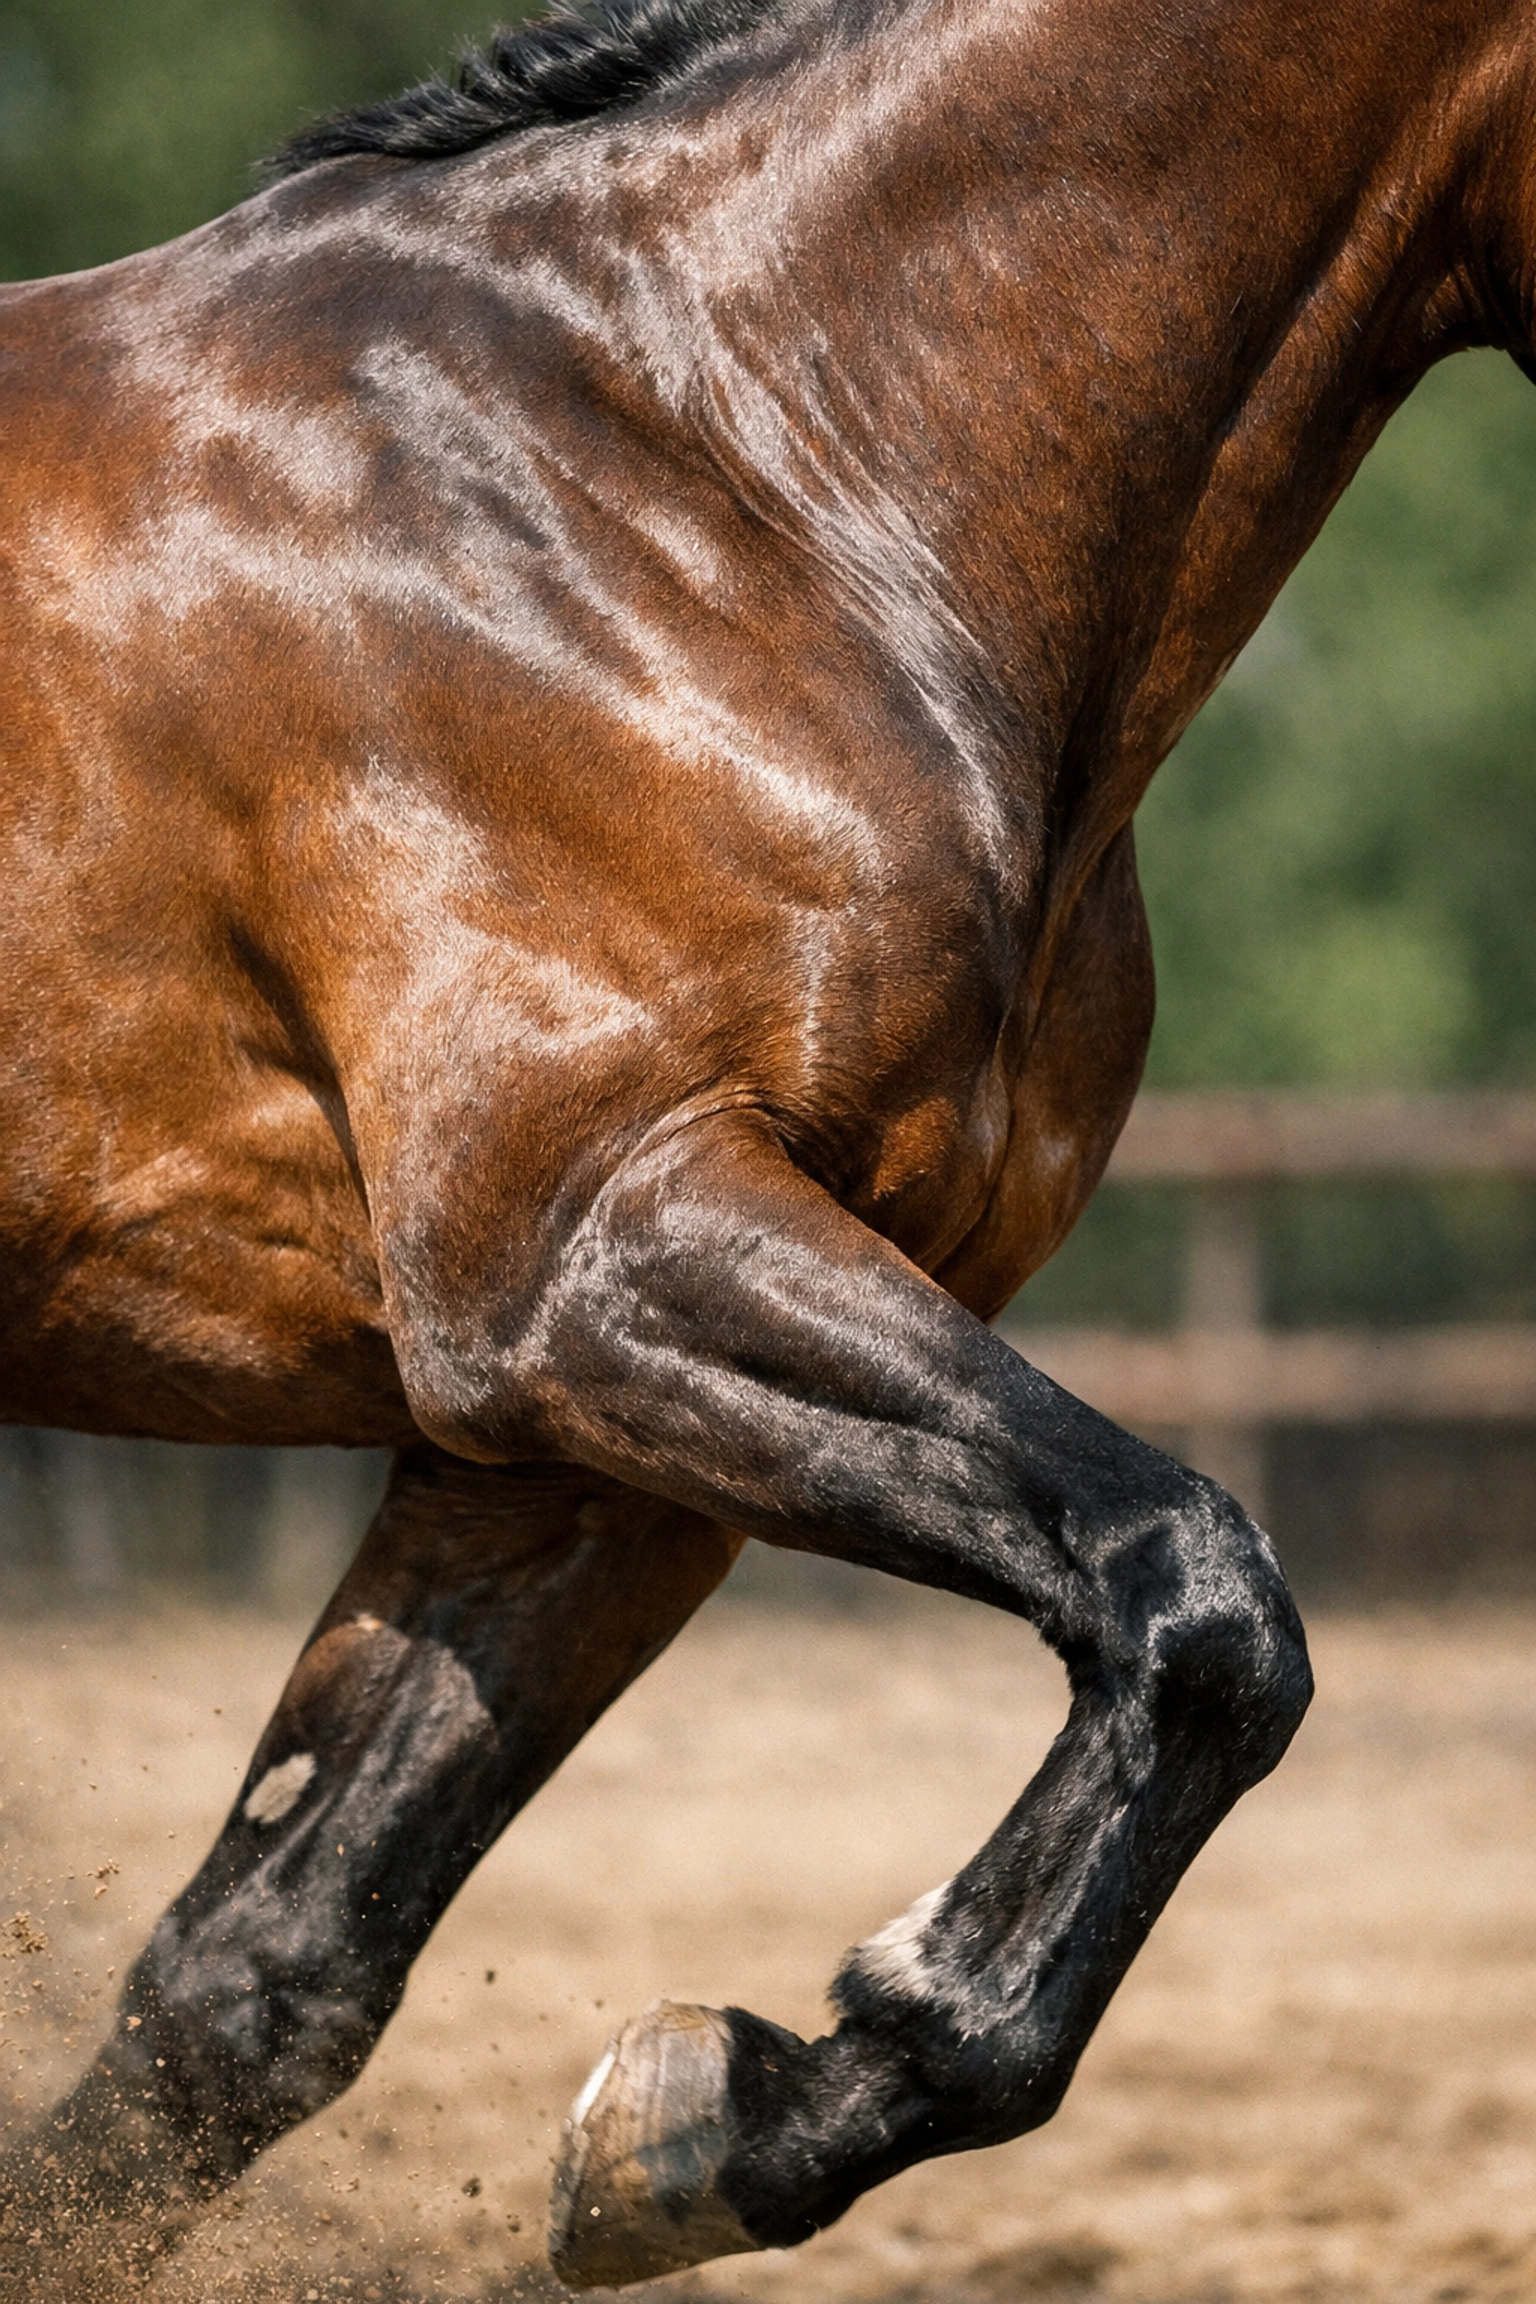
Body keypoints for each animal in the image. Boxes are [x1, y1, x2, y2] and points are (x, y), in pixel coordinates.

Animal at [14, 0, 1527, 2284]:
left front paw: (705, 2132)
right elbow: (1196, 1597)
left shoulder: (556, 1445)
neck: (737, 472)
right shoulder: (587, 1252)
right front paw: (757, 2090)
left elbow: (255, 1985)